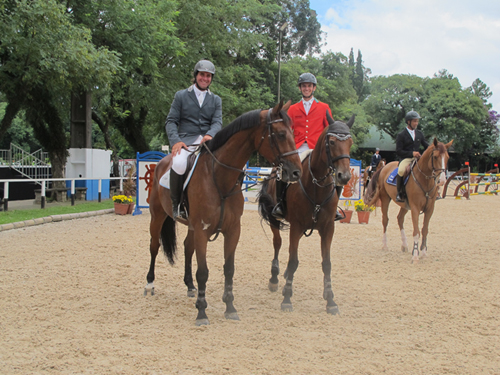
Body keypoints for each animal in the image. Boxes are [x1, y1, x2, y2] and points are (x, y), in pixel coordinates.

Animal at [145, 102, 300, 326]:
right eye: (280, 134)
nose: (296, 172)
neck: (219, 178)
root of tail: (161, 163)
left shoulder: (233, 230)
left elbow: (229, 269)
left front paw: (230, 307)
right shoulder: (202, 230)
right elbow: (203, 272)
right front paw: (202, 312)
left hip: (190, 226)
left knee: (187, 248)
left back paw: (190, 287)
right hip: (157, 216)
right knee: (154, 246)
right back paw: (149, 284)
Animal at [258, 114, 356, 314]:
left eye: (350, 142)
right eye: (332, 142)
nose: (343, 177)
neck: (317, 185)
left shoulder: (328, 228)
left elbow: (326, 263)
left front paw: (330, 300)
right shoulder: (296, 226)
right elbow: (293, 260)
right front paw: (287, 298)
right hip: (275, 219)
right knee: (278, 244)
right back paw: (275, 279)